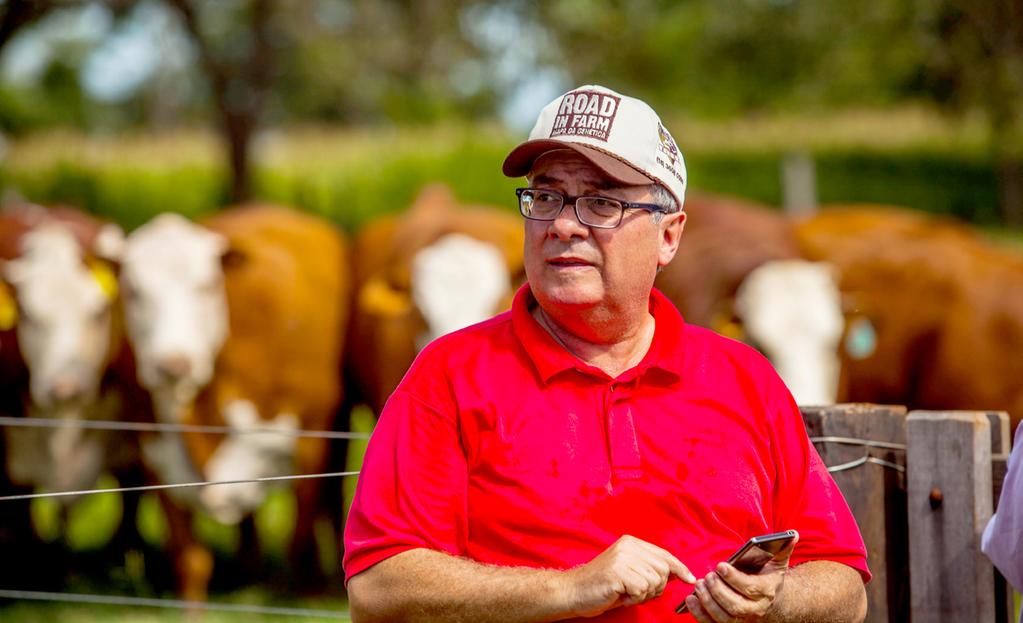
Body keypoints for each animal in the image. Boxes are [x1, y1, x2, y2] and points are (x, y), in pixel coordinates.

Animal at [118, 204, 351, 597]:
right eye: (133, 290)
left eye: (207, 285)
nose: (172, 363)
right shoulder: (155, 452)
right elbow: (189, 559)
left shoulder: (311, 440)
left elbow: (298, 541)